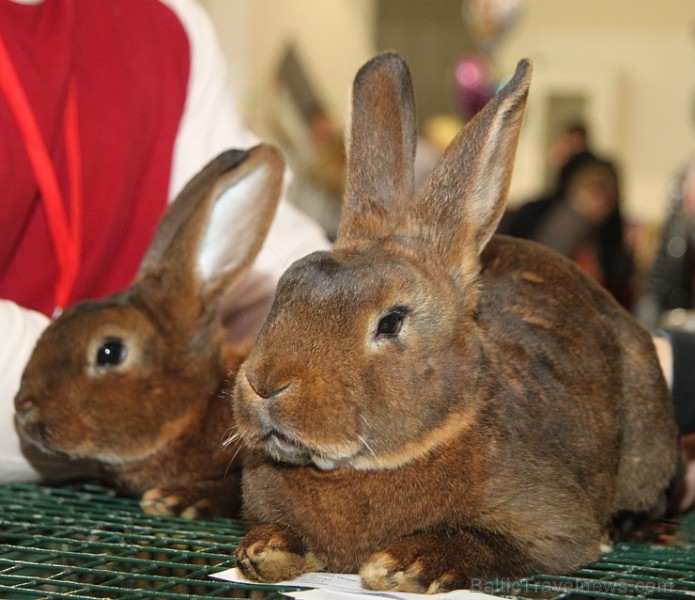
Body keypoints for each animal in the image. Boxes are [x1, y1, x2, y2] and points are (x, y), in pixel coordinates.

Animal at [234, 55, 680, 592]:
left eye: (390, 322)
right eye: (284, 289)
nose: (264, 384)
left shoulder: (551, 528)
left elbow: (488, 543)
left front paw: (405, 563)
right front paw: (264, 550)